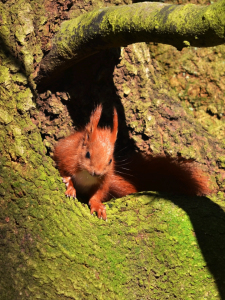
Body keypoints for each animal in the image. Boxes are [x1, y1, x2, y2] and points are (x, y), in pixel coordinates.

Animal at [53, 105, 212, 220]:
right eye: (87, 154)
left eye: (110, 160)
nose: (96, 172)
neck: (87, 175)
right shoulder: (65, 156)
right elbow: (63, 170)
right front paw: (70, 186)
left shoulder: (105, 180)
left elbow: (98, 194)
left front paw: (98, 205)